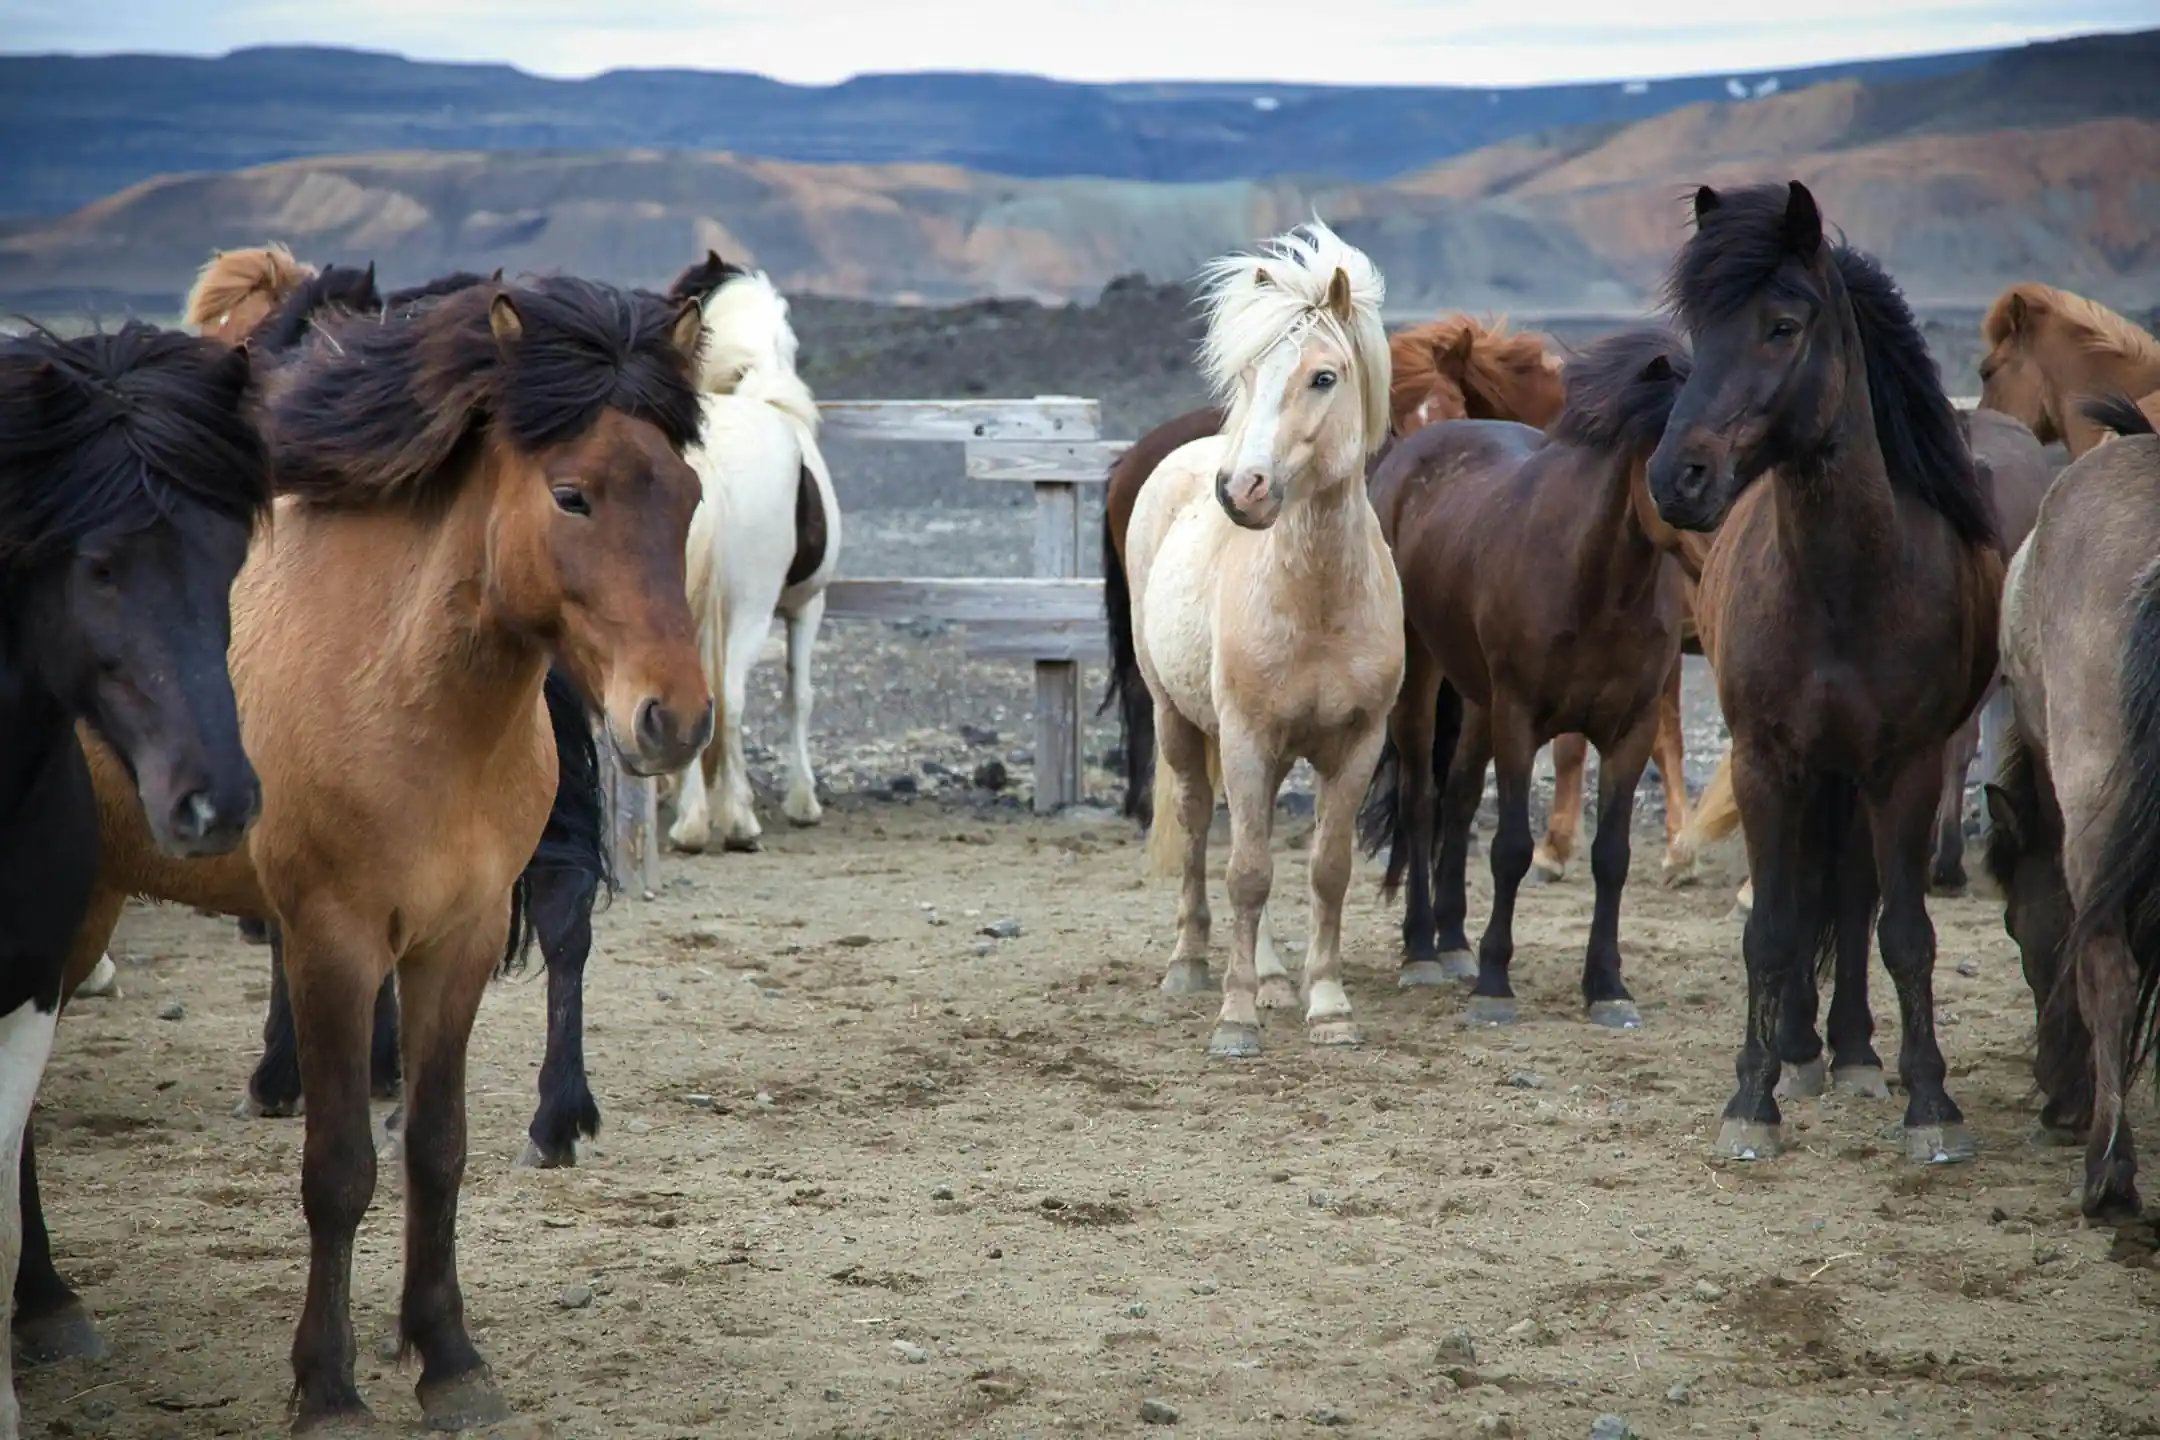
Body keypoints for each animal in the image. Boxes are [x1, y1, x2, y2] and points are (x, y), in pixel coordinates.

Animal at [52, 276, 712, 1430]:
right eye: (573, 496)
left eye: (685, 495)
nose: (674, 718)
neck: (403, 690)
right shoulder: (334, 939)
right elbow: (340, 1168)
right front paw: (328, 1384)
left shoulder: (460, 938)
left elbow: (436, 1150)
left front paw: (449, 1358)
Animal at [657, 251, 842, 854]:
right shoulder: (808, 606)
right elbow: (798, 697)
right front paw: (803, 803)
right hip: (753, 614)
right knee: (731, 701)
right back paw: (736, 823)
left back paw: (692, 824)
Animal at [1126, 221, 1401, 1057]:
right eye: (1249, 374)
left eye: (1323, 377)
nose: (1239, 489)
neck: (1317, 604)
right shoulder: (1246, 736)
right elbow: (1245, 871)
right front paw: (1236, 1017)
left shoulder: (1358, 742)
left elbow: (1326, 869)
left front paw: (1329, 1006)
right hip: (1178, 721)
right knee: (1196, 829)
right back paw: (1191, 964)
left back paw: (1279, 977)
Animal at [1356, 327, 1692, 1025]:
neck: (1597, 585)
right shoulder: (1519, 718)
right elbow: (1510, 847)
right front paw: (1493, 984)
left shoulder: (1631, 729)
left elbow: (1612, 856)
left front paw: (1607, 986)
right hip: (1423, 683)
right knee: (1421, 801)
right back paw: (1423, 949)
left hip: (1477, 699)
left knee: (1457, 799)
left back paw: (1453, 941)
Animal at [1646, 180, 2002, 1165]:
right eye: (1699, 327)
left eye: (1782, 325)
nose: (1677, 477)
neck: (1843, 586)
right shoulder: (1767, 761)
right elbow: (1772, 927)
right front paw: (1752, 1096)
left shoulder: (1906, 766)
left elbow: (1904, 932)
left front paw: (1931, 1103)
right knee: (1811, 892)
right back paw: (1803, 1050)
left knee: (1851, 894)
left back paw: (1850, 1052)